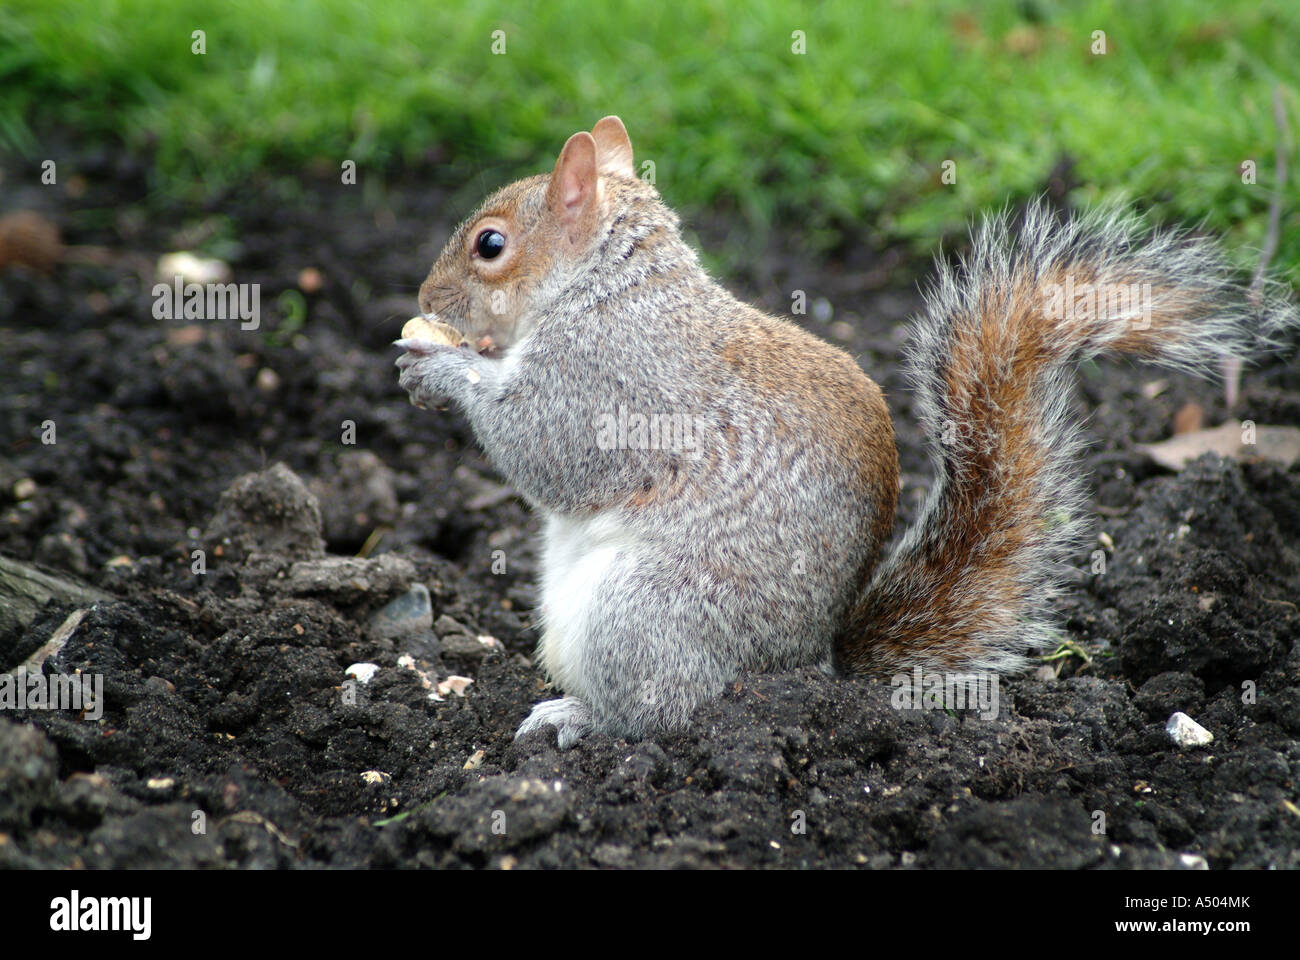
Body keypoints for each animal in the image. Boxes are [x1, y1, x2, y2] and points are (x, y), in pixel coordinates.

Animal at [396, 116, 1298, 748]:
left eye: (490, 245)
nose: (423, 296)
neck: (606, 289)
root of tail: (811, 666)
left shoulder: (613, 380)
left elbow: (548, 446)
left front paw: (441, 369)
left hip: (646, 612)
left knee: (664, 711)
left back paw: (581, 720)